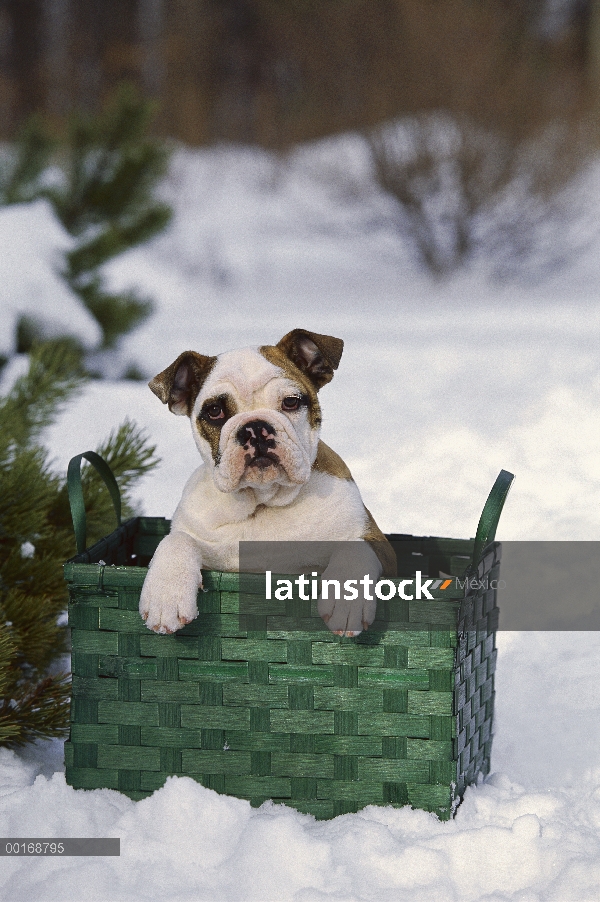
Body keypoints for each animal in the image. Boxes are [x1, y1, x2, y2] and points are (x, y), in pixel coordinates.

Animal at [138, 330, 396, 636]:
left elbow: (354, 547)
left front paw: (347, 600)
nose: (255, 427)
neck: (263, 500)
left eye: (291, 402)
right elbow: (176, 540)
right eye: (214, 411)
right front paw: (165, 596)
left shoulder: (379, 544)